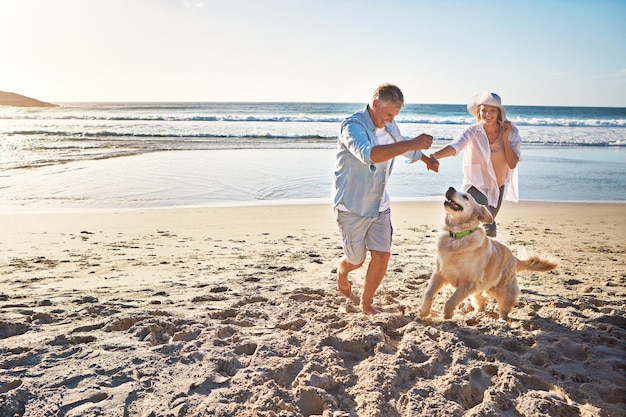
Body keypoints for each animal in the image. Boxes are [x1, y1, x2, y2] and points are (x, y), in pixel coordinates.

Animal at [420, 187, 556, 320]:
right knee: (481, 303)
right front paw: (424, 312)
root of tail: (514, 257)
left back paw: (502, 320)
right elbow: (428, 294)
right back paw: (475, 315)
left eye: (465, 197)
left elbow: (451, 300)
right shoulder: (439, 274)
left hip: (501, 288)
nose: (450, 188)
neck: (457, 237)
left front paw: (447, 315)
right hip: (480, 289)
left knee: (505, 306)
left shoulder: (467, 283)